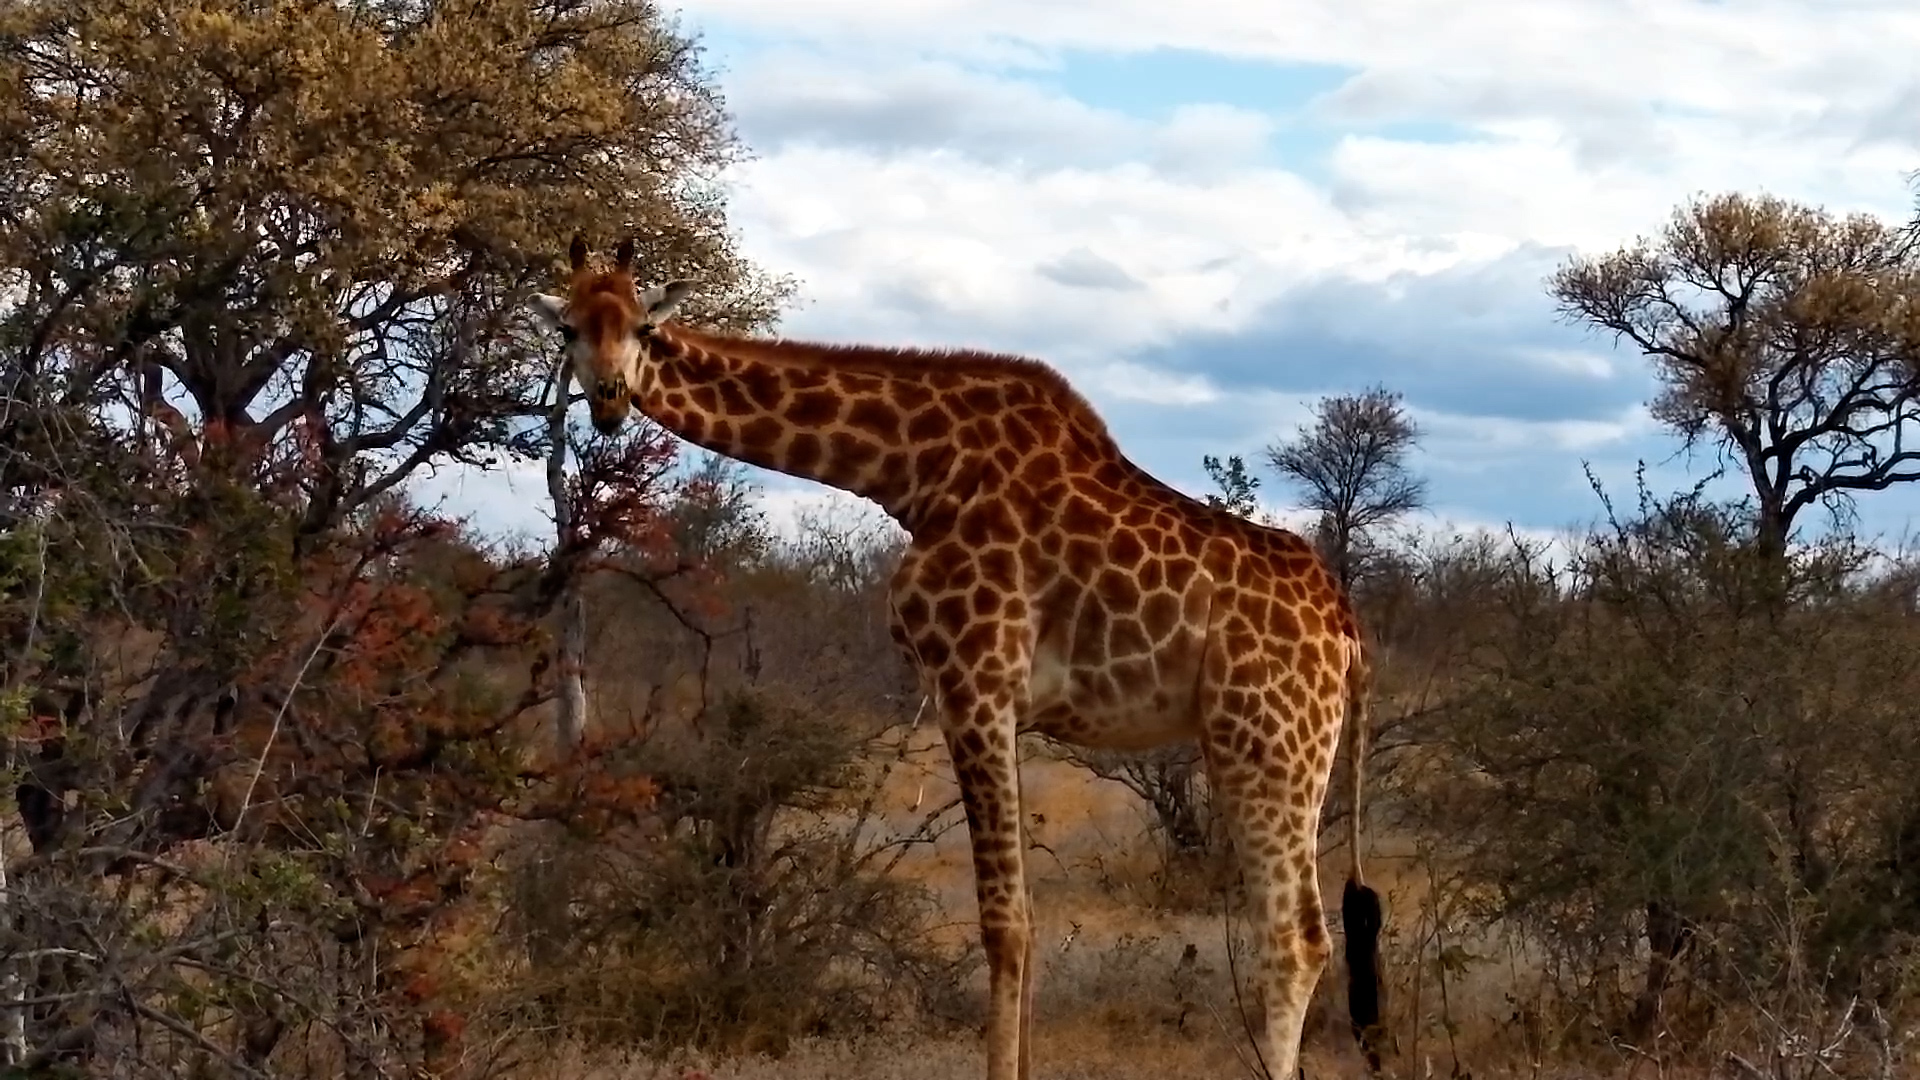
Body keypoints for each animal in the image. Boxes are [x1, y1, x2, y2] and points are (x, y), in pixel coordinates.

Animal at [529, 236, 1387, 1079]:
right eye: (567, 329)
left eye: (643, 328)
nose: (608, 400)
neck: (912, 471)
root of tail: (1348, 633)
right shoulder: (1005, 705)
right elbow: (1027, 919)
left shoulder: (973, 681)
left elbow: (1002, 924)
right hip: (1265, 744)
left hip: (1269, 739)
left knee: (1296, 938)